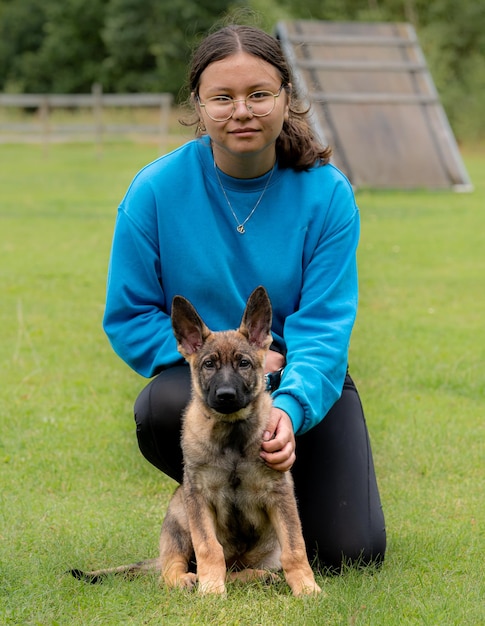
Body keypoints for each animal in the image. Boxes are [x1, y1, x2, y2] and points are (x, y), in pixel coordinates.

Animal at [72, 286, 320, 592]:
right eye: (209, 364)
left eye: (244, 363)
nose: (225, 395)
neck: (232, 437)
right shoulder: (198, 497)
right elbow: (208, 548)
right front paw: (211, 590)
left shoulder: (280, 494)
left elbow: (295, 548)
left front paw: (308, 589)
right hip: (180, 515)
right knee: (173, 569)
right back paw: (187, 579)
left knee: (237, 569)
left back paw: (257, 576)